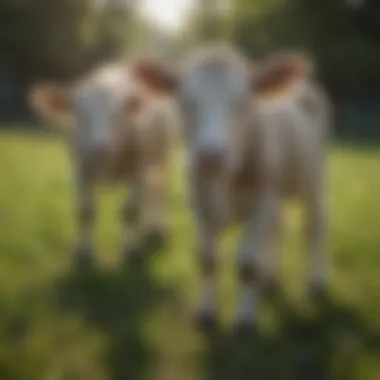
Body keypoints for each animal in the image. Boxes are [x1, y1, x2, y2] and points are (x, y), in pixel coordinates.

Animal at [29, 60, 177, 266]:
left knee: (158, 190)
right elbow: (85, 210)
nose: (98, 150)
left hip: (160, 156)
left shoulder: (139, 170)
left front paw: (130, 249)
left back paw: (156, 229)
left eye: (128, 105)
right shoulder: (79, 168)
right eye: (78, 110)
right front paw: (84, 251)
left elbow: (130, 211)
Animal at [140, 43, 332, 330]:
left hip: (315, 177)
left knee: (315, 226)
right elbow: (206, 260)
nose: (210, 156)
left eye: (243, 102)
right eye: (185, 101)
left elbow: (247, 265)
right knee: (279, 227)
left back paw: (316, 282)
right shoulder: (201, 207)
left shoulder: (261, 204)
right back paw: (271, 276)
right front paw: (206, 313)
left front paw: (245, 319)